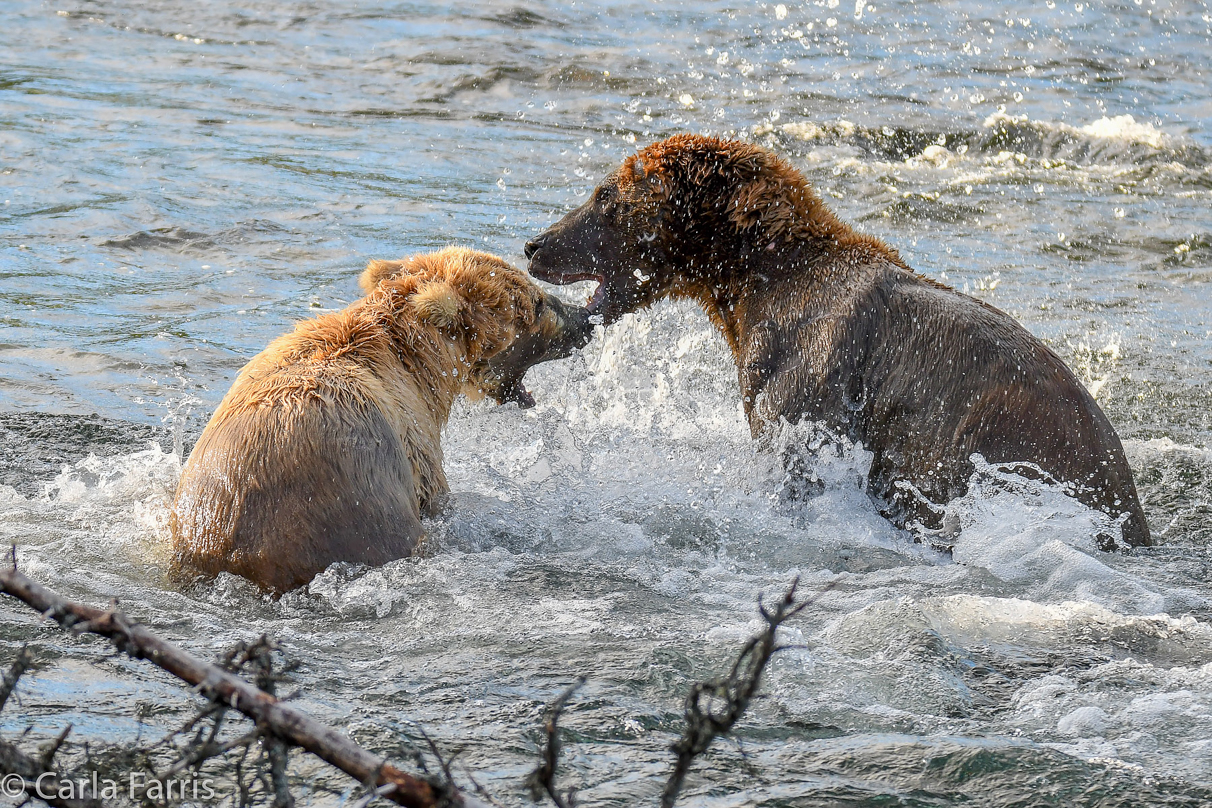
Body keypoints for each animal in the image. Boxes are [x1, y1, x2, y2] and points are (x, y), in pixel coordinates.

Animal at [526, 134, 1148, 549]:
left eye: (605, 195)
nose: (536, 243)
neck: (752, 283)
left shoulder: (808, 370)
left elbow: (792, 452)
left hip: (992, 451)